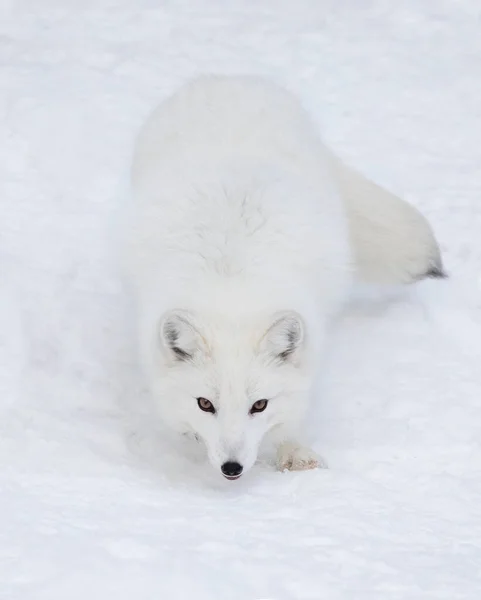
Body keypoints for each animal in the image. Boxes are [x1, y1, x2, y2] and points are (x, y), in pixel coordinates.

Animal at [124, 75, 442, 480]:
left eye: (259, 405)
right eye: (205, 404)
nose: (231, 468)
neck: (232, 284)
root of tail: (231, 78)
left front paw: (294, 454)